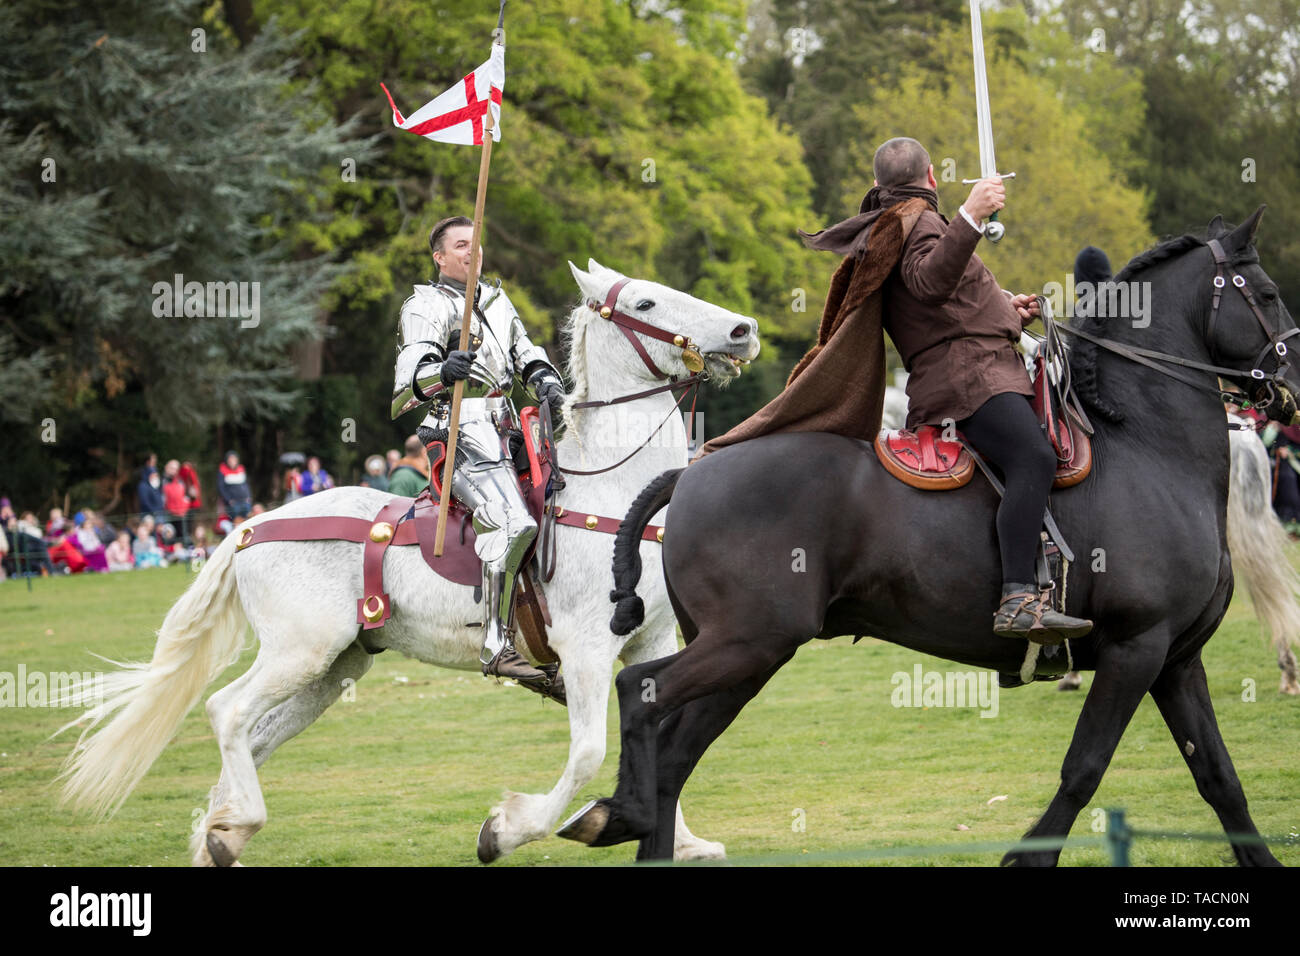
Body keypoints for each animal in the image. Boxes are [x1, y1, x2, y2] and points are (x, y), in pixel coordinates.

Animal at [58, 260, 759, 868]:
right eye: (643, 303)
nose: (743, 330)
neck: (611, 495)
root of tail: (250, 528)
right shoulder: (584, 650)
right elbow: (587, 753)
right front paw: (508, 830)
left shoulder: (651, 642)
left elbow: (658, 733)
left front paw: (684, 841)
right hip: (299, 652)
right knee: (227, 712)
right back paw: (236, 826)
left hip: (333, 669)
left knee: (254, 738)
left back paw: (217, 835)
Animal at [561, 210, 1300, 868]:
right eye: (1265, 294)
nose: (1293, 386)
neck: (1145, 445)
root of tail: (690, 471)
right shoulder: (1134, 650)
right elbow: (1084, 769)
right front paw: (1025, 859)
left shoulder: (1175, 659)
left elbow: (1219, 779)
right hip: (746, 644)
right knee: (638, 693)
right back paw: (617, 811)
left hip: (746, 657)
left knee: (673, 757)